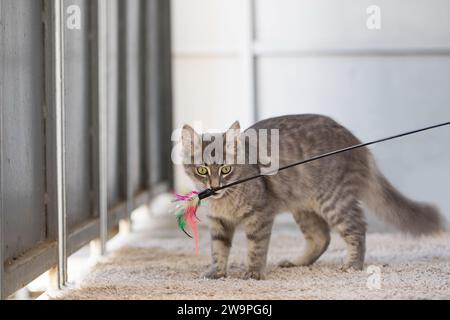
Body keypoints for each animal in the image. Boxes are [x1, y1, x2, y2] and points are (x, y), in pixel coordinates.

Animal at [180, 114, 442, 278]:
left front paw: (253, 273)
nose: (214, 187)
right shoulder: (219, 223)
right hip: (304, 208)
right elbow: (219, 250)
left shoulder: (260, 215)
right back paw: (297, 263)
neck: (224, 201)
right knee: (321, 237)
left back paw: (352, 265)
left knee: (357, 229)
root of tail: (357, 142)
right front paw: (216, 273)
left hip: (335, 201)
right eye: (202, 170)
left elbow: (255, 248)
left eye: (226, 169)